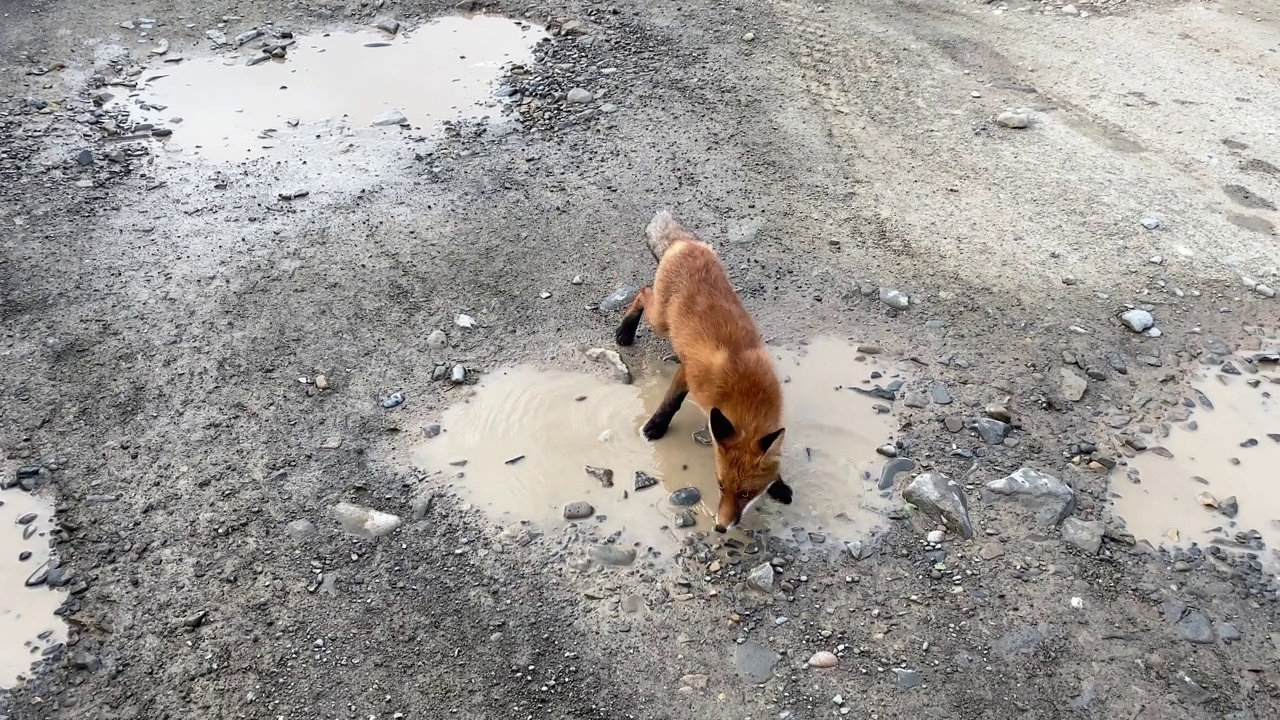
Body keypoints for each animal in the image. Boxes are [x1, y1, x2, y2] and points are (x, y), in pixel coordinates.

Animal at [611, 208, 788, 532]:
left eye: (746, 493)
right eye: (720, 486)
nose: (720, 526)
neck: (746, 391)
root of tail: (686, 244)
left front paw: (780, 485)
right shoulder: (689, 373)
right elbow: (670, 403)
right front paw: (654, 428)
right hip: (660, 321)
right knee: (642, 292)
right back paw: (626, 331)